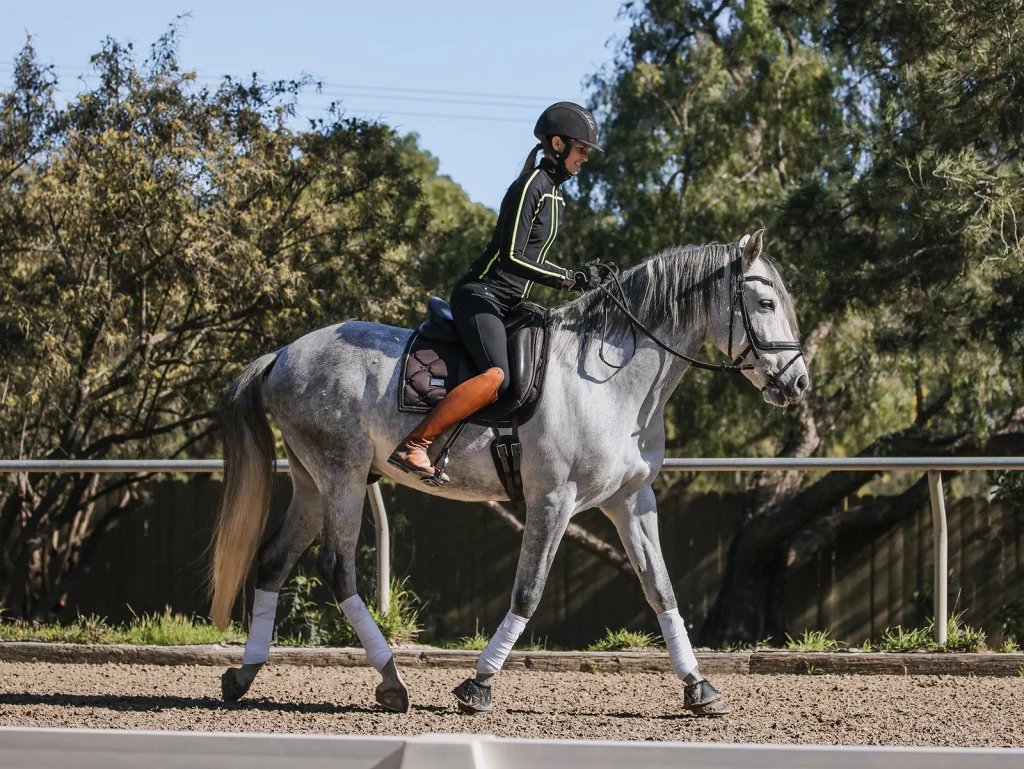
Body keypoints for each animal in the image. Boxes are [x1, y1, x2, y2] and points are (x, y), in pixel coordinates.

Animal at [208, 229, 809, 716]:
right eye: (764, 301)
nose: (797, 384)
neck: (612, 380)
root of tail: (284, 353)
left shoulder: (632, 500)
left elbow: (660, 586)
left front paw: (698, 686)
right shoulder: (553, 499)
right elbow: (528, 591)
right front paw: (478, 684)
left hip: (313, 483)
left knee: (274, 560)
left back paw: (245, 674)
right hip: (344, 477)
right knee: (337, 569)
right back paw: (391, 681)